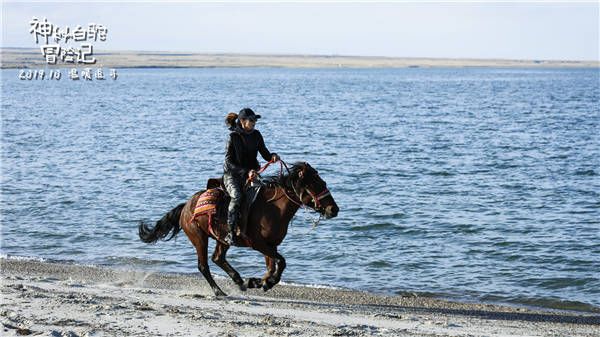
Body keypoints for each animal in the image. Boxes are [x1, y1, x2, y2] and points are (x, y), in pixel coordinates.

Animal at [138, 160, 340, 294]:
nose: (334, 209)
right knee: (203, 265)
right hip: (199, 238)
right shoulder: (258, 243)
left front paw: (260, 282)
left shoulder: (271, 245)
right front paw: (263, 282)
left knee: (218, 258)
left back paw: (239, 281)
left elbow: (272, 266)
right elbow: (281, 262)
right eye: (317, 184)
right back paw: (219, 292)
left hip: (221, 238)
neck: (273, 207)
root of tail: (186, 206)